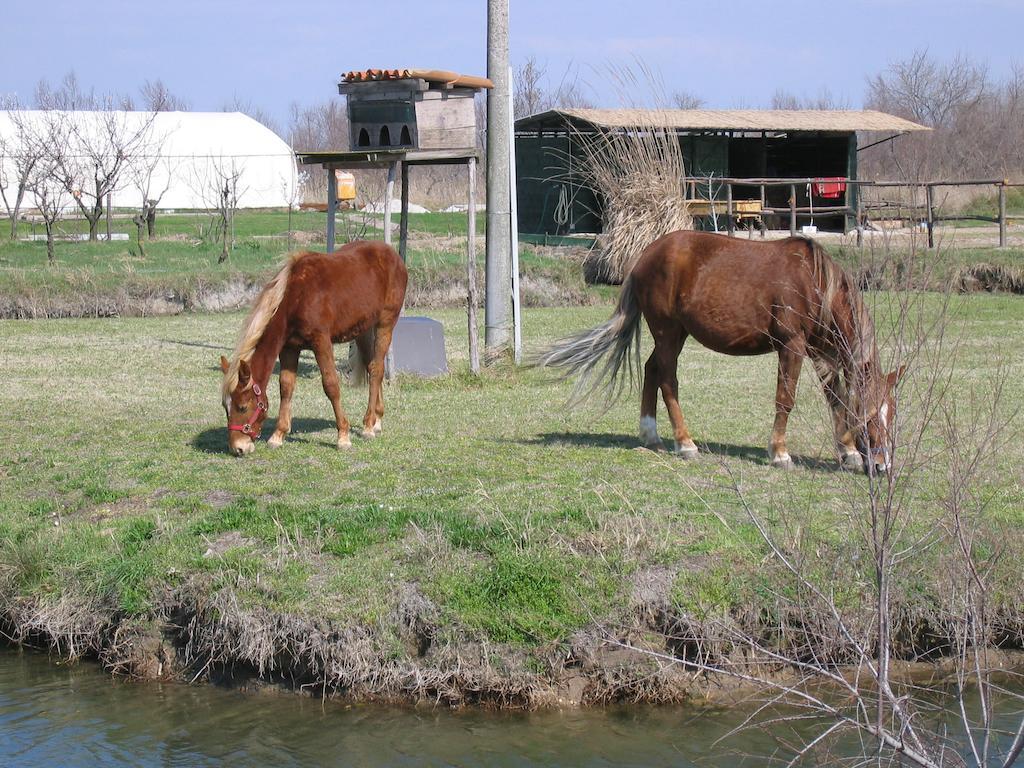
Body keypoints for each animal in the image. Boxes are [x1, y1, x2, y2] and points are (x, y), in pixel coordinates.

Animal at [220, 240, 407, 456]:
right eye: (225, 406)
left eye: (242, 407)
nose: (238, 448)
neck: (296, 297)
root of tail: (392, 254)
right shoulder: (289, 348)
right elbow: (286, 386)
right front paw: (278, 435)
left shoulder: (321, 342)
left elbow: (331, 385)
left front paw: (343, 436)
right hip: (363, 330)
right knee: (372, 365)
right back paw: (376, 420)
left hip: (385, 323)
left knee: (377, 370)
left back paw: (368, 425)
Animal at [540, 230, 901, 475]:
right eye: (871, 416)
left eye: (891, 415)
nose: (882, 465)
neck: (814, 283)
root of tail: (646, 255)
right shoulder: (792, 346)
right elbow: (785, 399)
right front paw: (779, 453)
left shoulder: (820, 352)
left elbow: (837, 399)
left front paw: (848, 452)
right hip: (667, 331)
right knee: (667, 380)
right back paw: (685, 443)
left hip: (676, 334)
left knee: (652, 370)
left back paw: (651, 435)